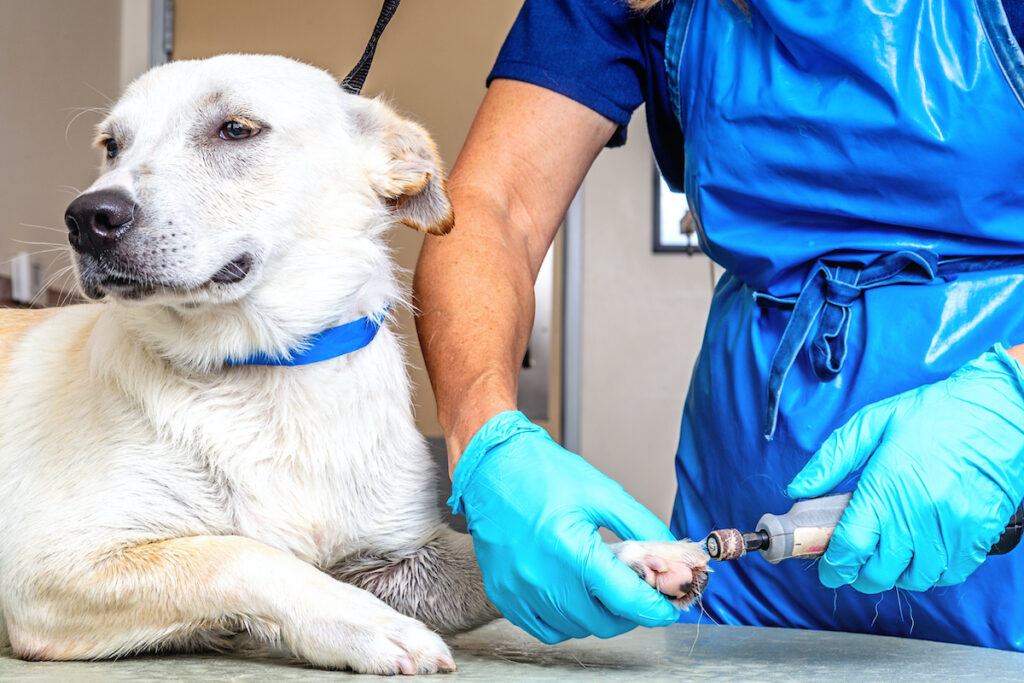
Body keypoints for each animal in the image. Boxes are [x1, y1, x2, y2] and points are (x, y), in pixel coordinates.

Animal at [0, 56, 708, 675]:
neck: (267, 372)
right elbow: (247, 556)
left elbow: (490, 557)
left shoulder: (398, 559)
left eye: (236, 129)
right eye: (111, 146)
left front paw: (623, 555)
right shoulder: (49, 573)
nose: (87, 217)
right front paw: (373, 627)